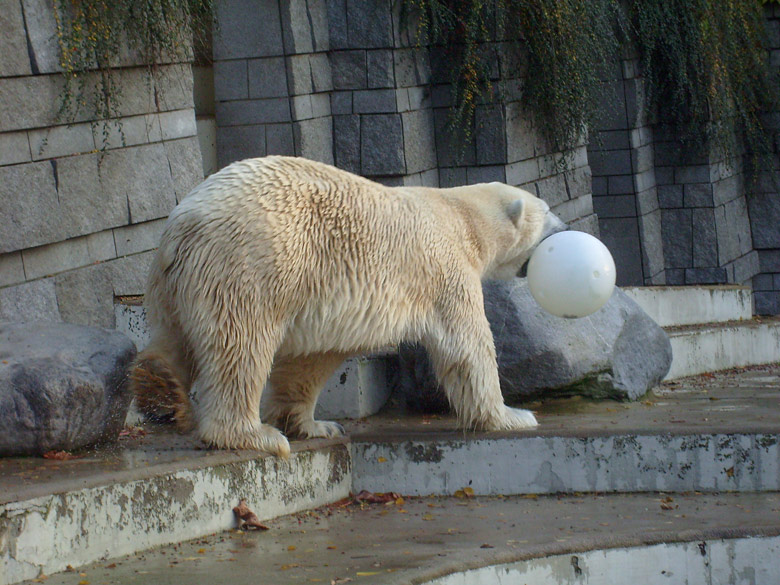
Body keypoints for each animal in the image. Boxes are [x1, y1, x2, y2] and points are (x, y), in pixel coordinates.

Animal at [129, 156, 568, 456]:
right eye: (547, 209)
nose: (565, 228)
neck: (462, 215)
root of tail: (186, 220)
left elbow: (312, 357)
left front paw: (313, 425)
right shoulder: (444, 267)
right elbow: (466, 345)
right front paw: (512, 416)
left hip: (174, 278)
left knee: (176, 335)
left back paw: (159, 387)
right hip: (252, 262)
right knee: (240, 344)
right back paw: (253, 435)